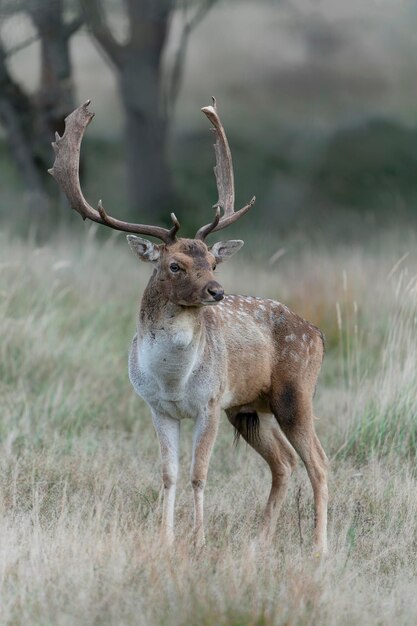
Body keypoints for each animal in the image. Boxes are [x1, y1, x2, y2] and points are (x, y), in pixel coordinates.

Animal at [49, 97, 328, 552]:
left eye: (212, 261)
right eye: (174, 265)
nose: (217, 291)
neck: (172, 381)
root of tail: (317, 332)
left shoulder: (209, 403)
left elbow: (199, 474)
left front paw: (197, 540)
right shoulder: (157, 407)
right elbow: (169, 474)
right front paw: (166, 538)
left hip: (294, 393)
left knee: (319, 463)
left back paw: (320, 548)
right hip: (249, 410)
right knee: (285, 463)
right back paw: (260, 542)